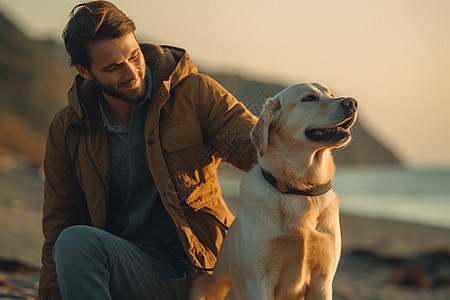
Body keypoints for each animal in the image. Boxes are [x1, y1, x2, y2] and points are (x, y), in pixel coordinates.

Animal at [190, 82, 358, 300]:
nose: (352, 103)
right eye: (309, 98)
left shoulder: (322, 279)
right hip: (203, 284)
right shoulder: (259, 279)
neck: (298, 188)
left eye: (331, 94)